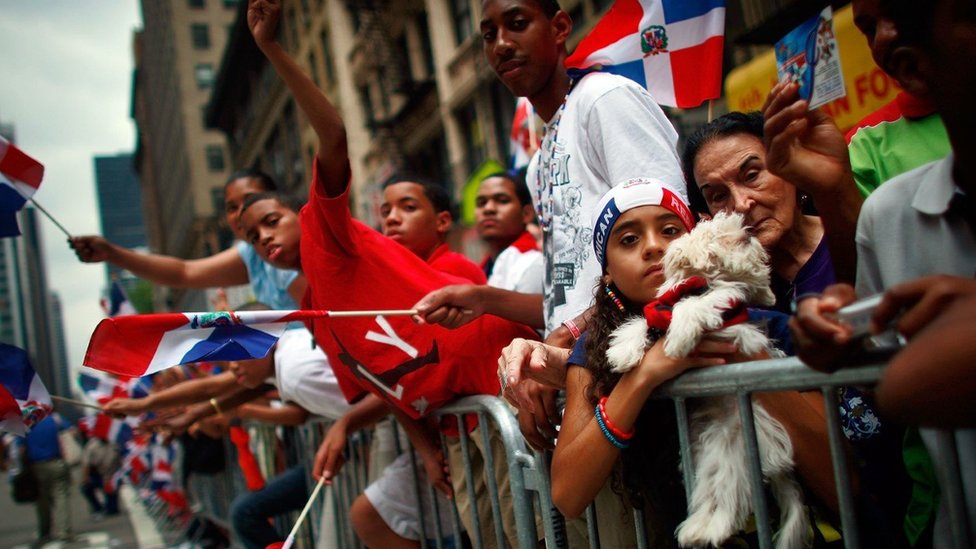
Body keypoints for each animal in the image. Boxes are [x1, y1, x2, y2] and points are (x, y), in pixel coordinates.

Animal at [604, 213, 808, 548]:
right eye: (724, 234)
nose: (748, 234)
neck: (700, 282)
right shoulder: (657, 308)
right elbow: (642, 321)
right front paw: (623, 352)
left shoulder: (722, 302)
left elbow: (694, 305)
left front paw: (678, 338)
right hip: (710, 449)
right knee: (713, 490)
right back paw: (697, 528)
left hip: (740, 445)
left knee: (731, 494)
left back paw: (710, 530)